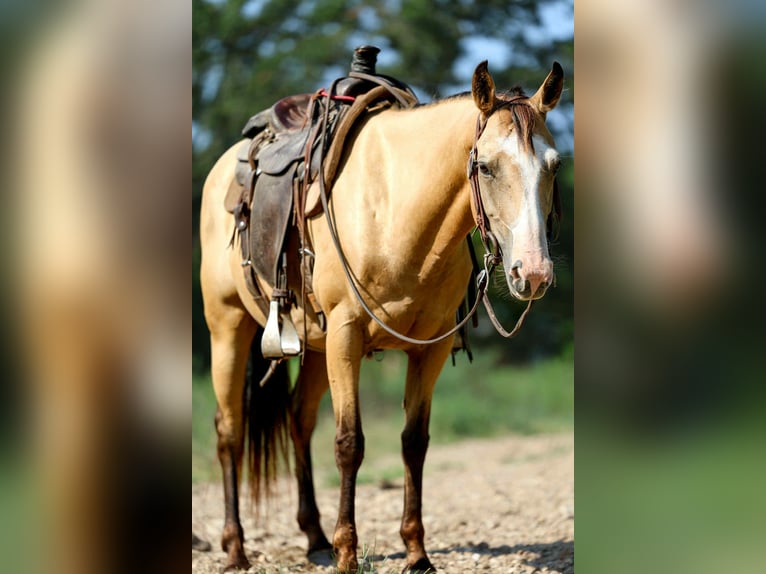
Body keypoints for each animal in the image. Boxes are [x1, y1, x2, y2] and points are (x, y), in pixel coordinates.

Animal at [199, 60, 564, 573]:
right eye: (485, 166)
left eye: (554, 165)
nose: (532, 272)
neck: (396, 213)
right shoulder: (346, 337)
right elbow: (349, 443)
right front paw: (349, 553)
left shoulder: (430, 348)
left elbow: (415, 441)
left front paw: (416, 552)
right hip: (228, 327)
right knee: (230, 429)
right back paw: (236, 547)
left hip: (316, 348)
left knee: (298, 419)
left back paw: (314, 538)